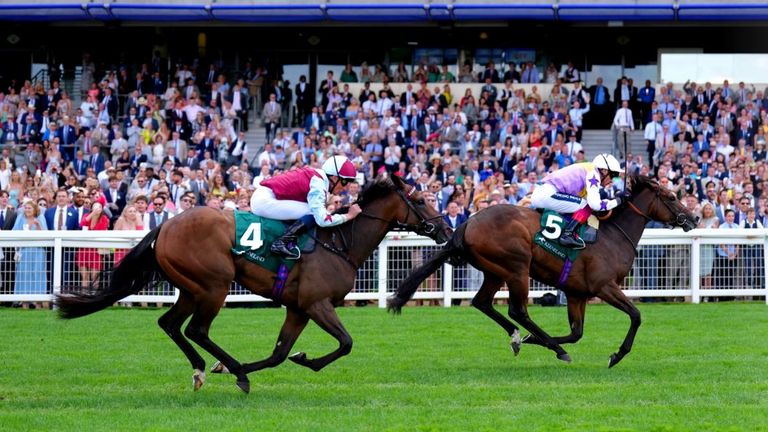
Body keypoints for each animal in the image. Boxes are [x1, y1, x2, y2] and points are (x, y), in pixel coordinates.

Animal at [58, 175, 450, 392]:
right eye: (419, 199)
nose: (446, 229)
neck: (340, 242)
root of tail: (166, 225)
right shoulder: (317, 303)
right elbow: (346, 343)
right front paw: (260, 368)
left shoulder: (298, 308)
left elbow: (279, 354)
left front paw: (291, 358)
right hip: (214, 285)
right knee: (197, 329)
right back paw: (225, 367)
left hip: (191, 287)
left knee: (170, 323)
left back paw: (202, 368)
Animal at [392, 176, 700, 368]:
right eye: (672, 196)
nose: (695, 217)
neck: (612, 236)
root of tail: (467, 223)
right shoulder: (604, 286)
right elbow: (636, 315)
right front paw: (617, 355)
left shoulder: (576, 293)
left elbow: (577, 332)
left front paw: (534, 340)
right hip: (517, 267)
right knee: (518, 311)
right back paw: (553, 347)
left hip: (495, 271)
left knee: (483, 302)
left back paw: (523, 338)